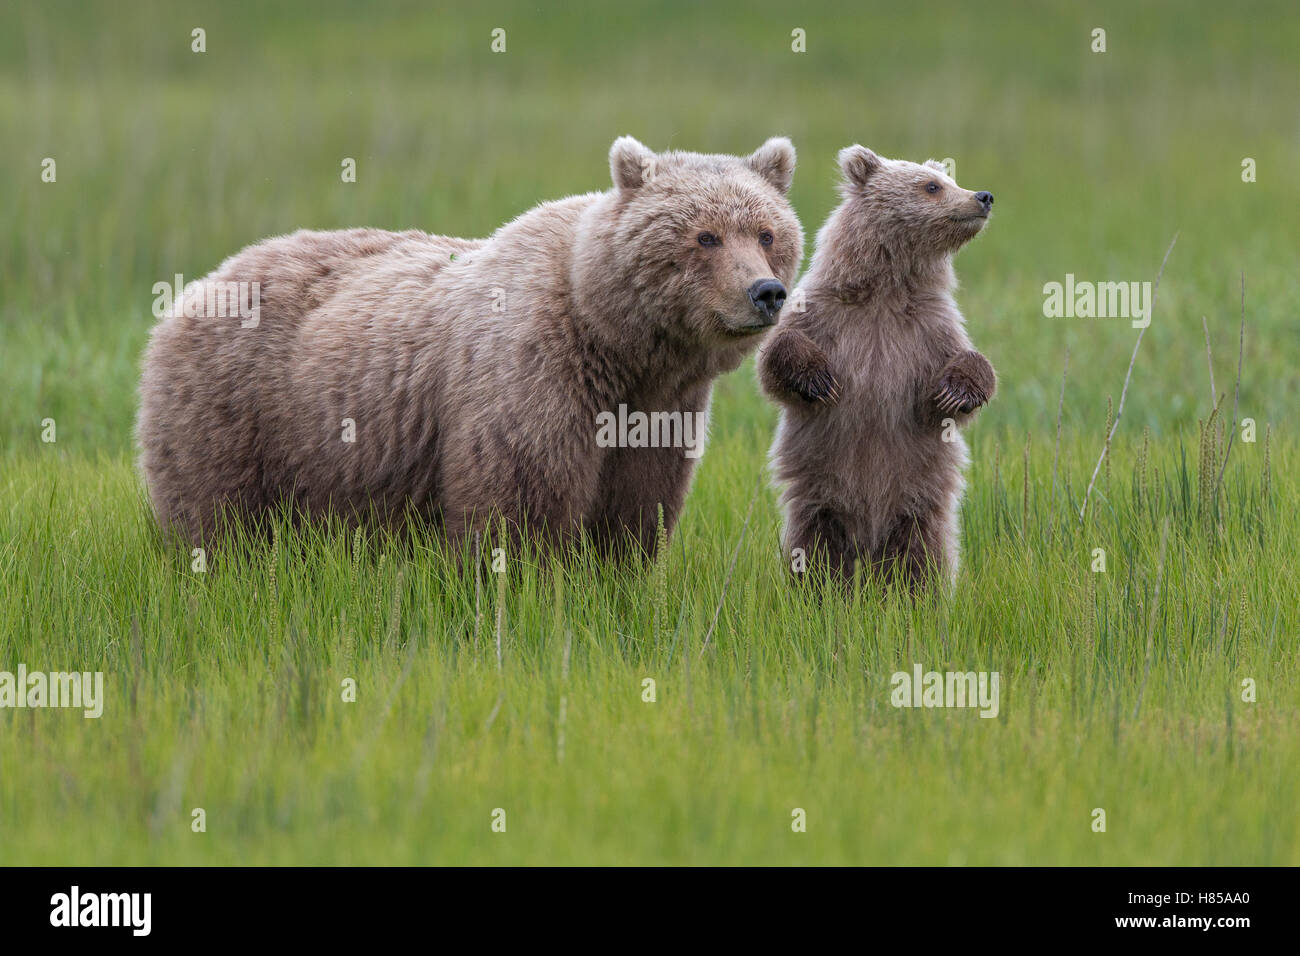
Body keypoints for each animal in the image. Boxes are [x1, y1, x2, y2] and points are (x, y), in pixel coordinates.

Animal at [137, 136, 803, 557]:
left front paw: (617, 579)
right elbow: (518, 499)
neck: (616, 340)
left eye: (767, 233)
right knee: (217, 516)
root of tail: (199, 285)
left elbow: (638, 506)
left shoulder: (659, 409)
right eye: (706, 236)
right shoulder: (535, 373)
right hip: (237, 408)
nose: (765, 291)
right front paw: (525, 586)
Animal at [758, 145, 996, 591]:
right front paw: (820, 380)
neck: (886, 288)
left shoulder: (930, 328)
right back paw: (819, 595)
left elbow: (969, 364)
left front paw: (954, 391)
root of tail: (868, 540)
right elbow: (777, 357)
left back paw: (916, 598)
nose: (983, 196)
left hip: (920, 499)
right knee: (815, 550)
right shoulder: (827, 313)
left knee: (921, 556)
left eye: (951, 180)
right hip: (821, 495)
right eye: (932, 185)